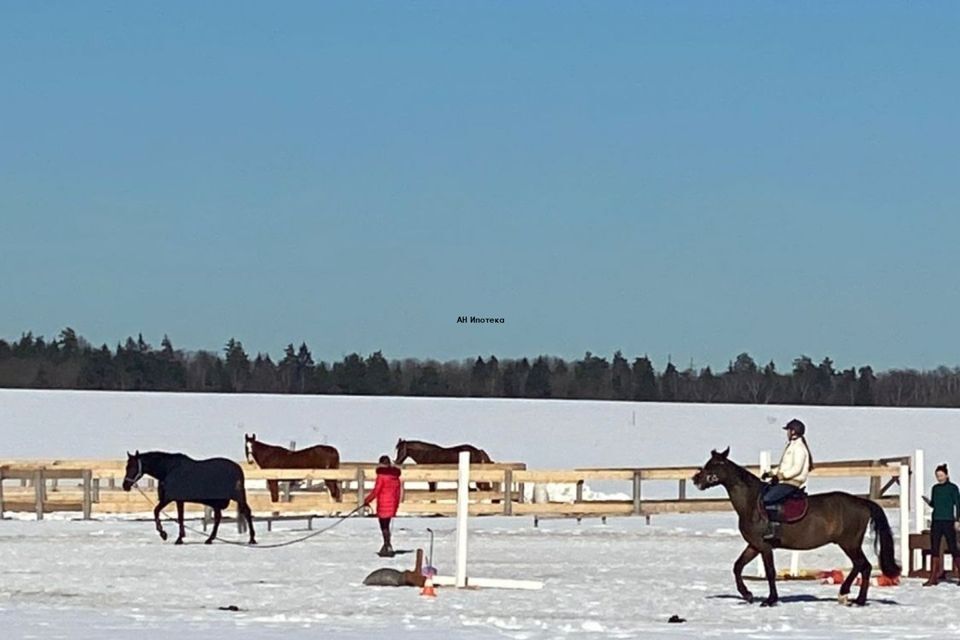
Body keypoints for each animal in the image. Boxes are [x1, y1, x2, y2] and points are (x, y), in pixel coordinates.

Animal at [123, 450, 255, 544]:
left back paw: (252, 539)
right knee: (218, 517)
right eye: (126, 466)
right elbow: (157, 511)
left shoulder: (174, 499)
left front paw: (176, 538)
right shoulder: (170, 500)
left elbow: (178, 517)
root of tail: (238, 468)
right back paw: (209, 539)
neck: (168, 470)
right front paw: (164, 534)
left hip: (237, 497)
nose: (125, 485)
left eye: (133, 467)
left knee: (247, 512)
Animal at [692, 448, 896, 608]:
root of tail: (862, 502)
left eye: (714, 464)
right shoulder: (754, 545)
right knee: (862, 566)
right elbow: (737, 567)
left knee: (863, 565)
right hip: (849, 544)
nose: (696, 479)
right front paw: (748, 595)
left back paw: (851, 596)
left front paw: (770, 600)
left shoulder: (764, 546)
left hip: (849, 543)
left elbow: (770, 572)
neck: (751, 502)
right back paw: (853, 597)